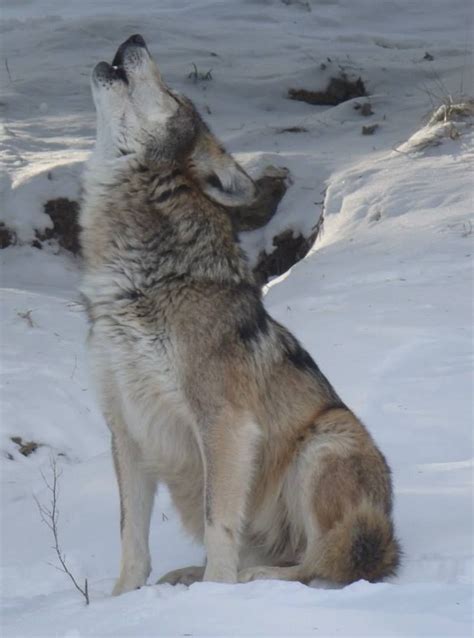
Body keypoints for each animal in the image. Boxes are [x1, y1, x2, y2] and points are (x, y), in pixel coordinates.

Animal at [81, 32, 400, 596]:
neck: (138, 282)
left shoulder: (224, 423)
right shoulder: (126, 428)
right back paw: (187, 575)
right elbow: (131, 538)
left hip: (325, 442)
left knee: (324, 563)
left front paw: (216, 593)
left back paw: (252, 578)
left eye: (172, 95)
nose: (135, 37)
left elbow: (218, 522)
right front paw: (121, 602)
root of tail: (388, 532)